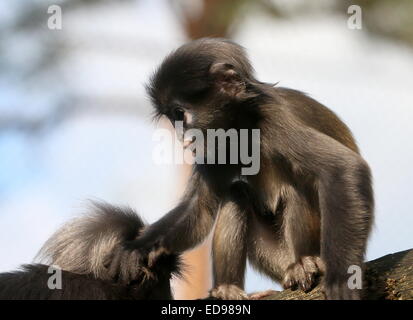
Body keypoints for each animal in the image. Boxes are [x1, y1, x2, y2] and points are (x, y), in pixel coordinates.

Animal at [109, 38, 374, 300]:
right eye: (174, 119)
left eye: (180, 114)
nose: (183, 136)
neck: (243, 127)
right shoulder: (218, 143)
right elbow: (199, 209)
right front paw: (137, 248)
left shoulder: (273, 119)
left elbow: (342, 167)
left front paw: (342, 279)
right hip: (274, 259)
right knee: (236, 193)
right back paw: (228, 288)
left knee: (293, 189)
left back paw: (303, 263)